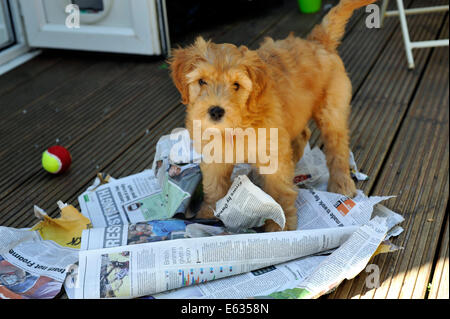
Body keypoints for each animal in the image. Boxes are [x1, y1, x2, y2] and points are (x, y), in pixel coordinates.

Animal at [169, 0, 376, 230]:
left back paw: (341, 184)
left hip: (331, 110)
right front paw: (208, 215)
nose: (215, 111)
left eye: (236, 85)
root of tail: (317, 41)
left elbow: (279, 191)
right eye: (202, 81)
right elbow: (214, 187)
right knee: (303, 134)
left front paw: (279, 225)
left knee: (337, 146)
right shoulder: (216, 156)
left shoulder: (272, 155)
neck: (237, 125)